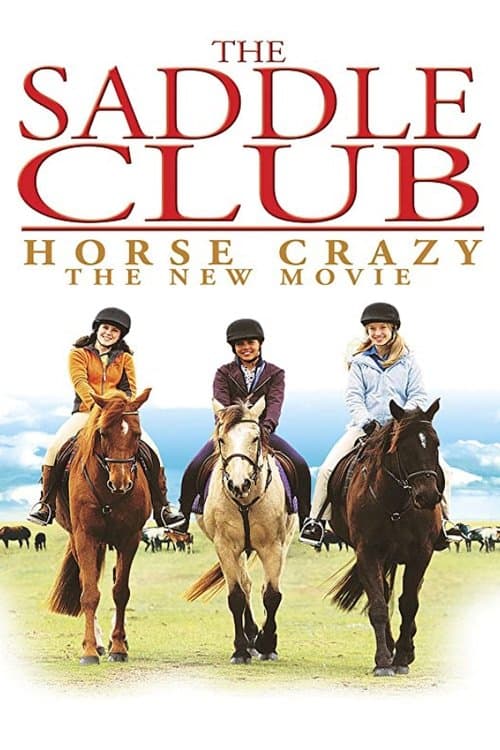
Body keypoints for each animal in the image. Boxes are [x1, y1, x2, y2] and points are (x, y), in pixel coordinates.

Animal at [48, 388, 153, 664]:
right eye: (103, 433)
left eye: (137, 434)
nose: (121, 483)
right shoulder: (85, 537)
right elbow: (90, 593)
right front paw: (89, 651)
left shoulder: (130, 539)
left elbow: (121, 592)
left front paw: (118, 647)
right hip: (78, 540)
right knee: (87, 581)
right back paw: (95, 643)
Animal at [185, 397, 296, 663]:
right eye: (222, 439)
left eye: (255, 438)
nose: (238, 484)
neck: (245, 501)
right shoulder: (225, 546)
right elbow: (236, 596)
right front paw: (241, 650)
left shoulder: (273, 547)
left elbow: (272, 595)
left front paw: (268, 644)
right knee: (245, 585)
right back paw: (251, 635)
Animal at [327, 399, 443, 676]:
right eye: (403, 446)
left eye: (435, 443)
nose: (427, 497)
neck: (396, 504)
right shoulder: (368, 553)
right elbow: (379, 605)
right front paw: (383, 660)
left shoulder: (421, 555)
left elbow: (409, 604)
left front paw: (401, 657)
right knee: (384, 594)